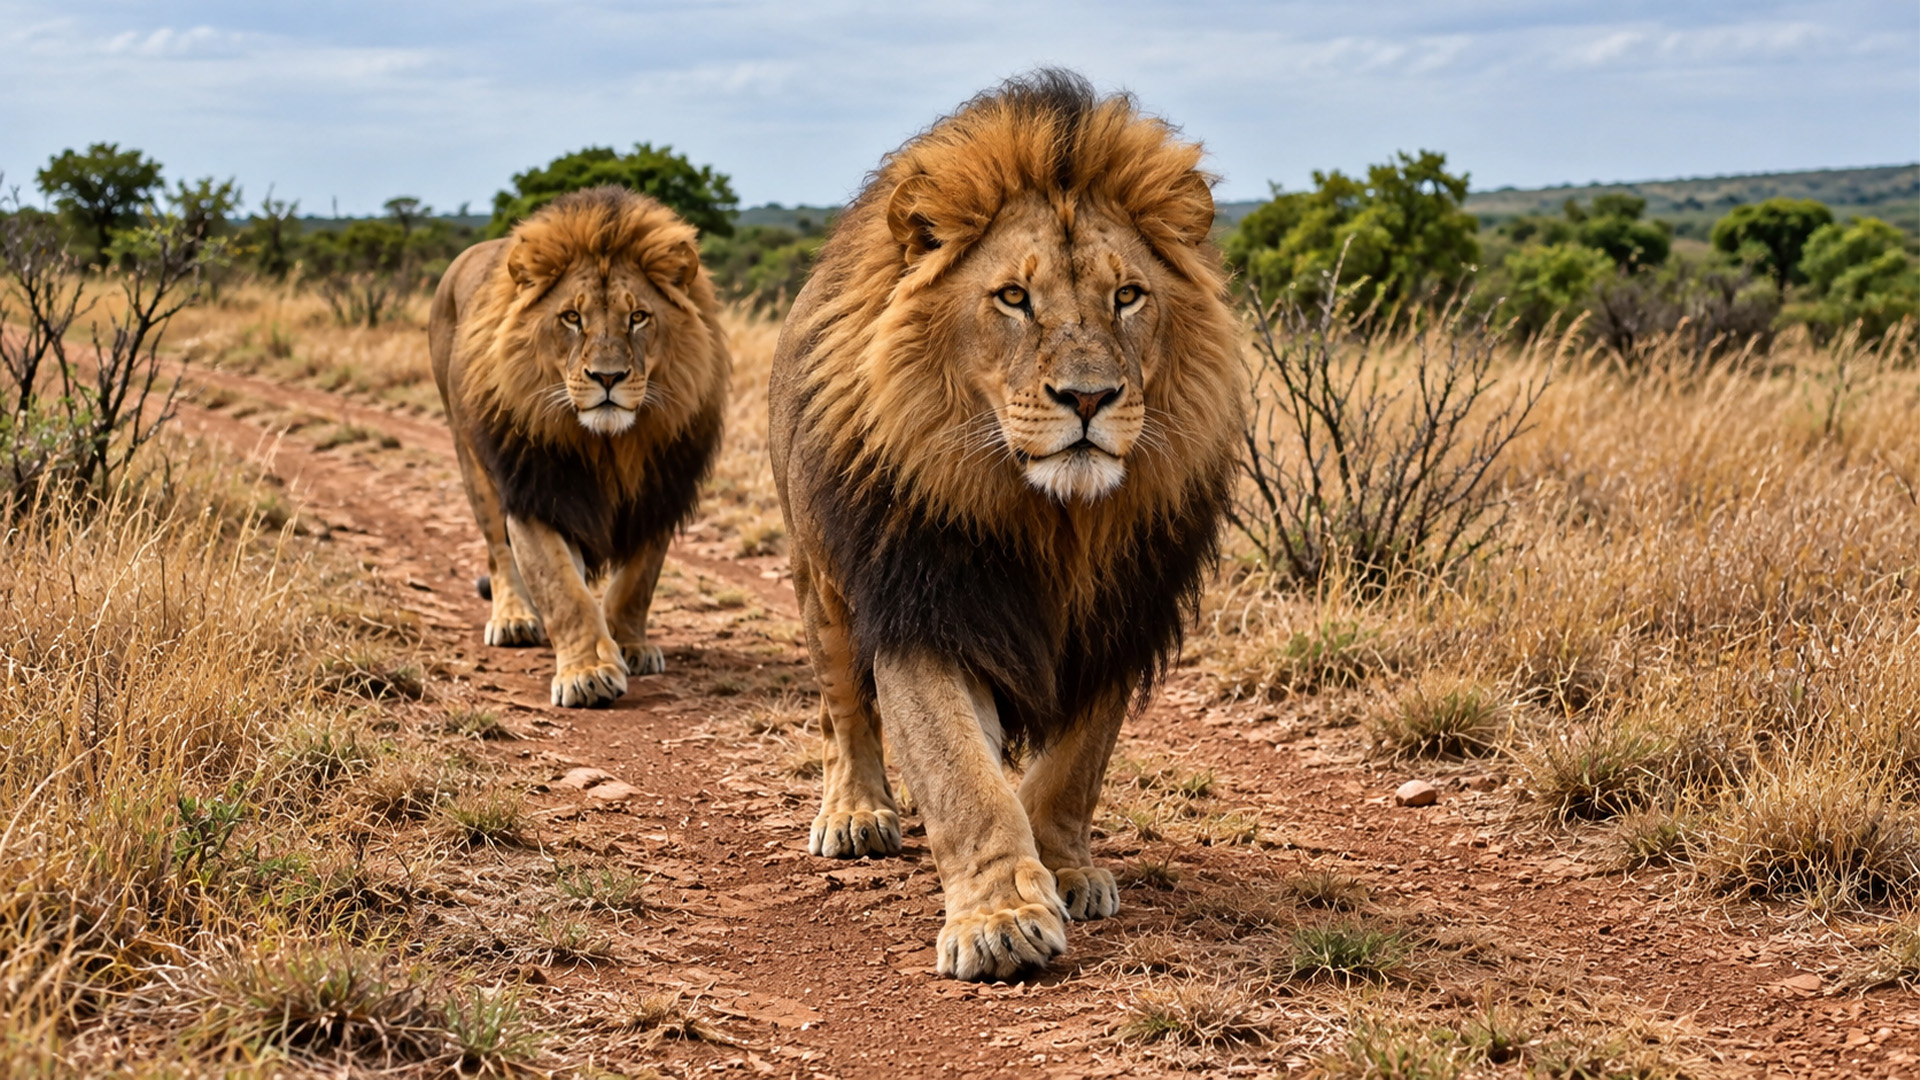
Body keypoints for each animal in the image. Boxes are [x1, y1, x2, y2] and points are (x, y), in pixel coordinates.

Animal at [429, 186, 729, 708]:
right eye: (572, 318)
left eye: (638, 317)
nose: (608, 377)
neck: (608, 444)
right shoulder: (535, 492)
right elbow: (562, 590)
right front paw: (588, 672)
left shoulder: (660, 492)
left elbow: (636, 583)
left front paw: (629, 644)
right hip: (470, 458)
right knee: (497, 550)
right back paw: (513, 619)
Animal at [768, 70, 1244, 979]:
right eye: (1015, 299)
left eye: (1127, 296)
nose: (1089, 398)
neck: (1052, 518)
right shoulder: (922, 604)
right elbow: (961, 775)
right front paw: (1000, 919)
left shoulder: (1118, 616)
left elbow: (1072, 769)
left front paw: (1064, 868)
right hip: (821, 581)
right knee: (843, 708)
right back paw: (855, 814)